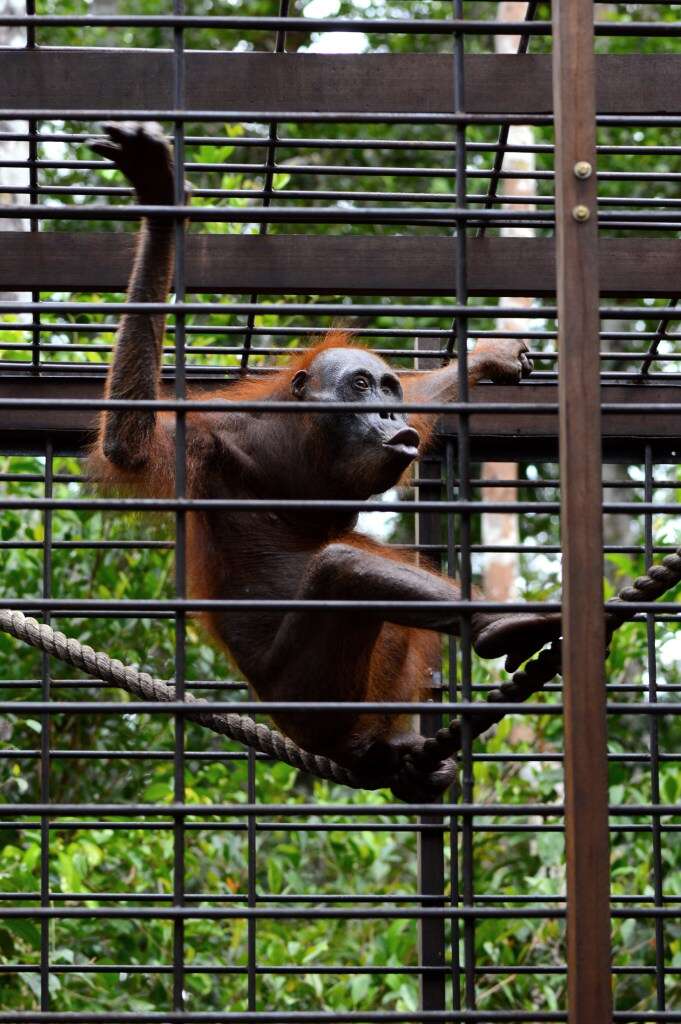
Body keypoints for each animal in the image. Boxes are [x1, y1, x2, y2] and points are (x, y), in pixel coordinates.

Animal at [88, 123, 562, 799]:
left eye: (388, 389)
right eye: (361, 386)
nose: (388, 416)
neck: (297, 449)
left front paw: (484, 359)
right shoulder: (209, 438)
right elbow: (128, 443)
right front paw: (158, 197)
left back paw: (395, 750)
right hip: (309, 699)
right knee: (347, 568)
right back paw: (498, 634)